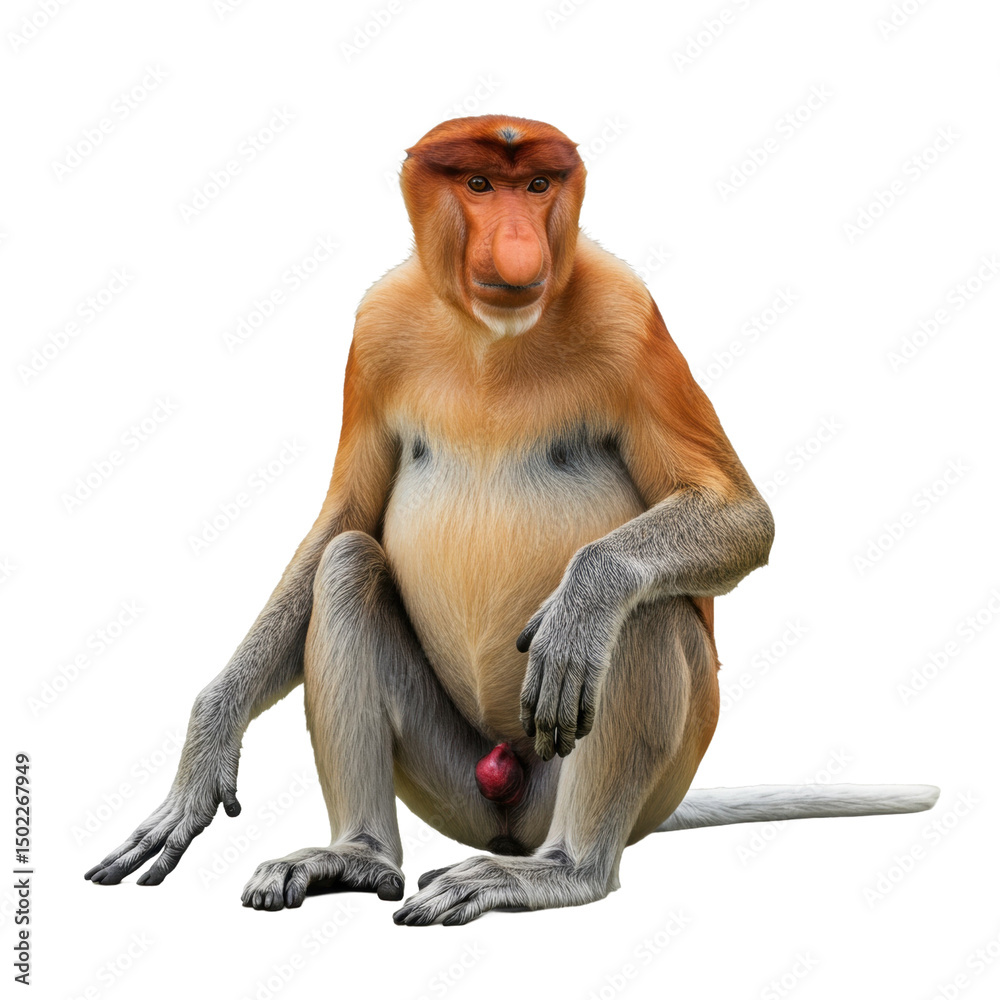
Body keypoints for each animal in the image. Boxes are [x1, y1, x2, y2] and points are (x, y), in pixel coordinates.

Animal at [84, 115, 939, 925]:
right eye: (478, 183)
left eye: (536, 185)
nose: (519, 246)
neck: (490, 338)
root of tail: (515, 819)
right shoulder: (374, 329)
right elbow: (342, 520)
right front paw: (206, 745)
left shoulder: (630, 312)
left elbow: (738, 512)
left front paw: (581, 605)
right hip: (457, 782)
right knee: (349, 563)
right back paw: (356, 857)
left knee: (645, 607)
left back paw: (562, 869)